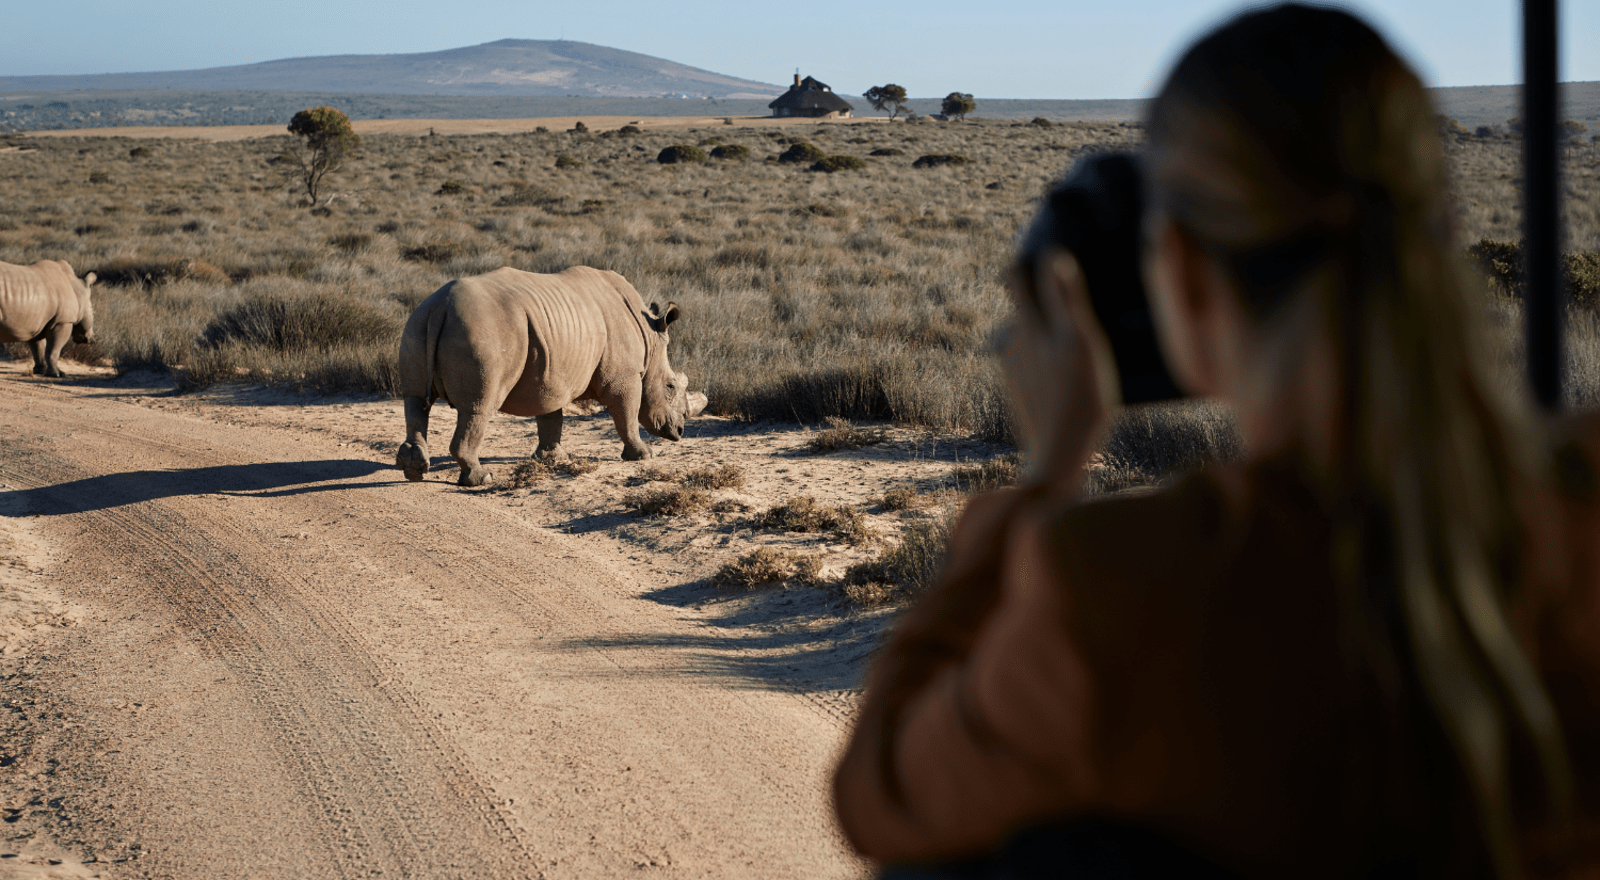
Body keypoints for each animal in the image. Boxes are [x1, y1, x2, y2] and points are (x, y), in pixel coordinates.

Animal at [395, 266, 707, 486]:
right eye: (670, 386)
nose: (679, 432)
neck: (650, 339)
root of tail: (442, 306)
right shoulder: (624, 377)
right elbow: (627, 415)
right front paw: (644, 455)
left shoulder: (551, 373)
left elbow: (550, 415)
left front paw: (552, 459)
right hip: (481, 332)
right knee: (477, 408)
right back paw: (480, 479)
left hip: (418, 321)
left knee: (414, 399)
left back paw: (413, 470)